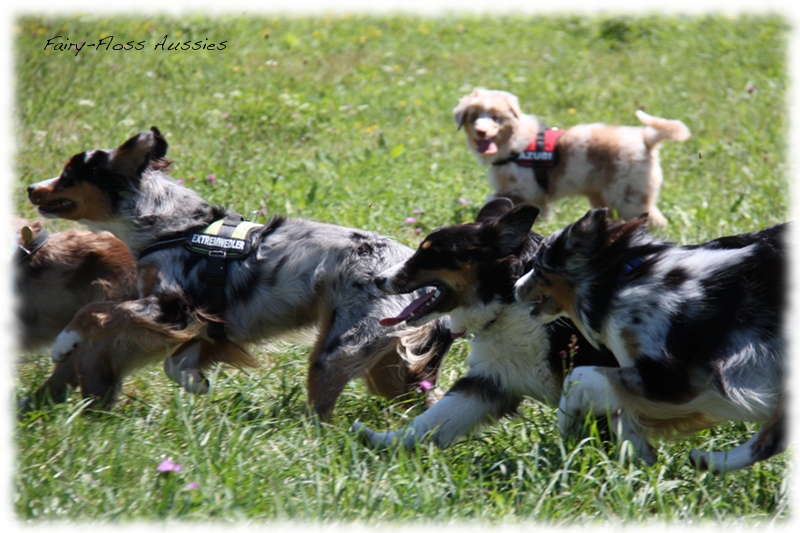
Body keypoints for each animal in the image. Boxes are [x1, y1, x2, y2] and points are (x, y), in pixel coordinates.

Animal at [28, 125, 454, 416]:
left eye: (68, 175)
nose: (31, 188)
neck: (173, 227)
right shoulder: (212, 322)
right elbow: (174, 363)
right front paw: (196, 383)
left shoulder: (171, 306)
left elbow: (94, 311)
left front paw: (64, 343)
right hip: (387, 365)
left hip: (339, 349)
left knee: (324, 410)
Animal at [348, 197, 612, 446]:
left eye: (431, 254)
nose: (378, 279)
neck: (509, 297)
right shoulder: (492, 379)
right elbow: (431, 420)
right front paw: (379, 441)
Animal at [454, 89, 692, 227]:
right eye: (474, 118)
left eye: (496, 118)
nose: (481, 132)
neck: (515, 142)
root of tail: (646, 140)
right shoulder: (537, 195)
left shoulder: (527, 189)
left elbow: (492, 198)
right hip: (604, 197)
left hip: (628, 198)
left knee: (656, 221)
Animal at [512, 208, 788, 470]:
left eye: (538, 266)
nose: (514, 287)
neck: (619, 279)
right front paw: (637, 451)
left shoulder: (672, 379)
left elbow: (578, 377)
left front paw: (567, 427)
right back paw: (709, 462)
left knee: (772, 437)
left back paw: (711, 461)